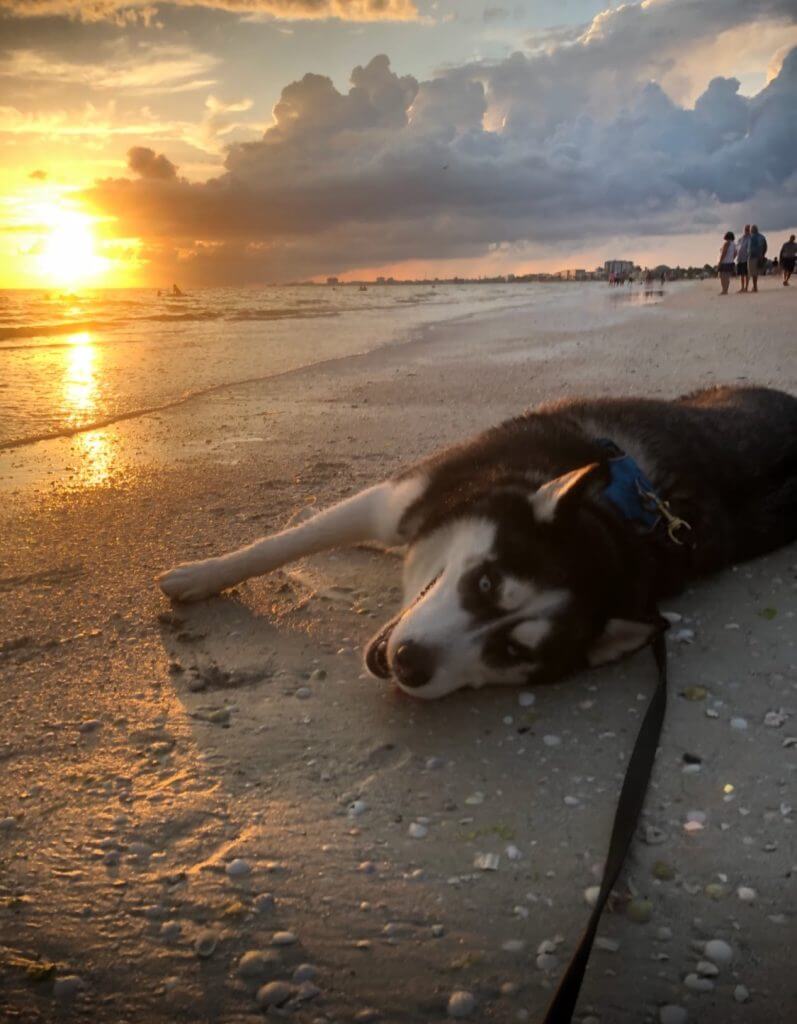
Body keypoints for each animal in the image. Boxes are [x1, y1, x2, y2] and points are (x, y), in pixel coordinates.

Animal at [159, 387, 794, 700]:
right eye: (485, 580)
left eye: (511, 652)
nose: (411, 663)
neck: (618, 515)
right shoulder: (405, 499)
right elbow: (283, 541)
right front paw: (198, 576)